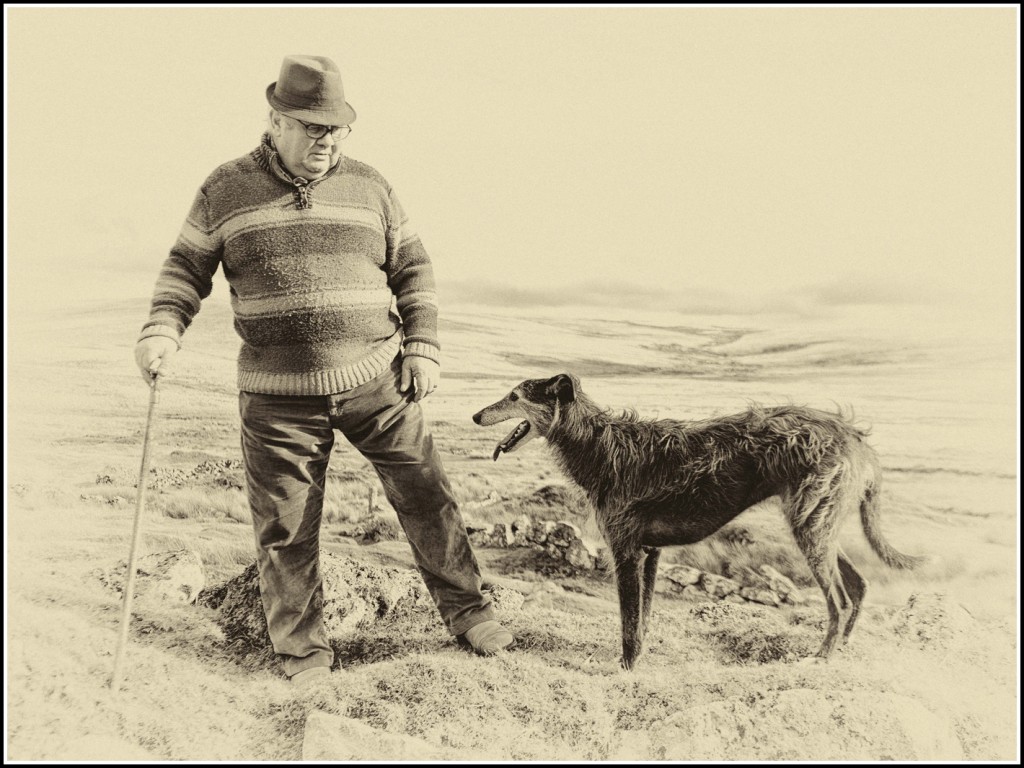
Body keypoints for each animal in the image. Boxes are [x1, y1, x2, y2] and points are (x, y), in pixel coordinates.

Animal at [475, 376, 925, 671]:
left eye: (514, 395)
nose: (477, 414)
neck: (599, 445)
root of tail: (854, 436)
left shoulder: (626, 551)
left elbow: (628, 623)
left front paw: (625, 669)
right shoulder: (649, 552)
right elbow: (643, 617)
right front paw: (640, 659)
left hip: (811, 525)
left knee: (840, 600)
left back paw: (821, 657)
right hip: (818, 523)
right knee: (858, 584)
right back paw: (843, 647)